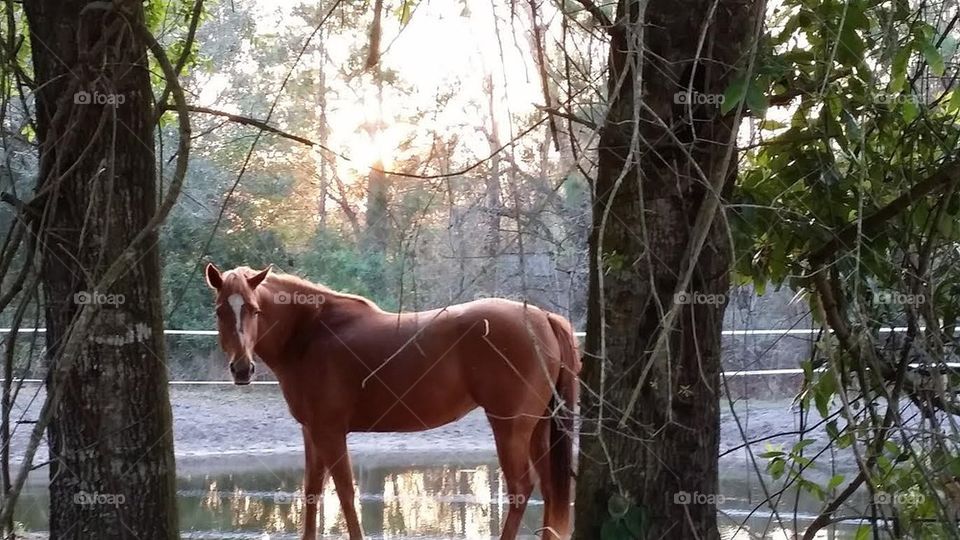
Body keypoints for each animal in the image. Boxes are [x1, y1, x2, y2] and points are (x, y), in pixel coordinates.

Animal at [204, 264, 581, 539]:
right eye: (220, 310)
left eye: (254, 310)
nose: (242, 369)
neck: (310, 334)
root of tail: (543, 317)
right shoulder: (312, 432)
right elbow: (312, 491)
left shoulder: (330, 432)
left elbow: (345, 493)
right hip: (538, 428)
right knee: (550, 489)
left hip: (510, 427)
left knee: (520, 489)